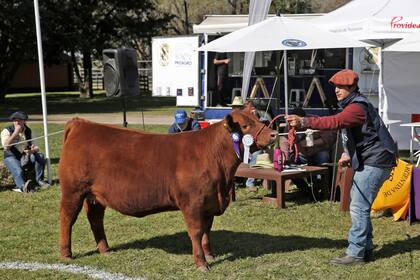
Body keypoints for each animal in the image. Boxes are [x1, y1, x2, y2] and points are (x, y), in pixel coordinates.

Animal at [58, 104, 276, 270]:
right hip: (73, 191)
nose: (274, 134)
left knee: (95, 219)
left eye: (259, 118)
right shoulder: (192, 203)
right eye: (246, 125)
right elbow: (196, 232)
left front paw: (210, 255)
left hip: (95, 196)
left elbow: (207, 232)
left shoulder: (209, 202)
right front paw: (201, 264)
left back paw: (105, 250)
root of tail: (81, 123)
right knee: (67, 219)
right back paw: (66, 254)